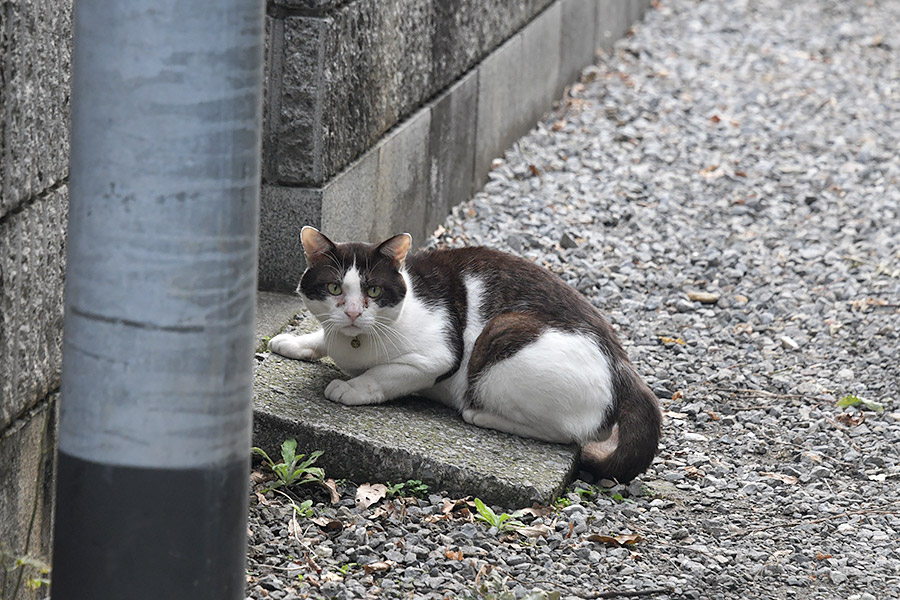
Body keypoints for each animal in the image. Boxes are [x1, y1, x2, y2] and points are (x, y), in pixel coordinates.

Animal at [268, 225, 660, 482]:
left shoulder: (438, 357)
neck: (355, 343)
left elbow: (383, 374)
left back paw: (481, 415)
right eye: (334, 288)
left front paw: (351, 388)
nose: (351, 313)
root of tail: (625, 367)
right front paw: (296, 342)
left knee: (570, 436)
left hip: (501, 338)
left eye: (374, 291)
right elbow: (323, 336)